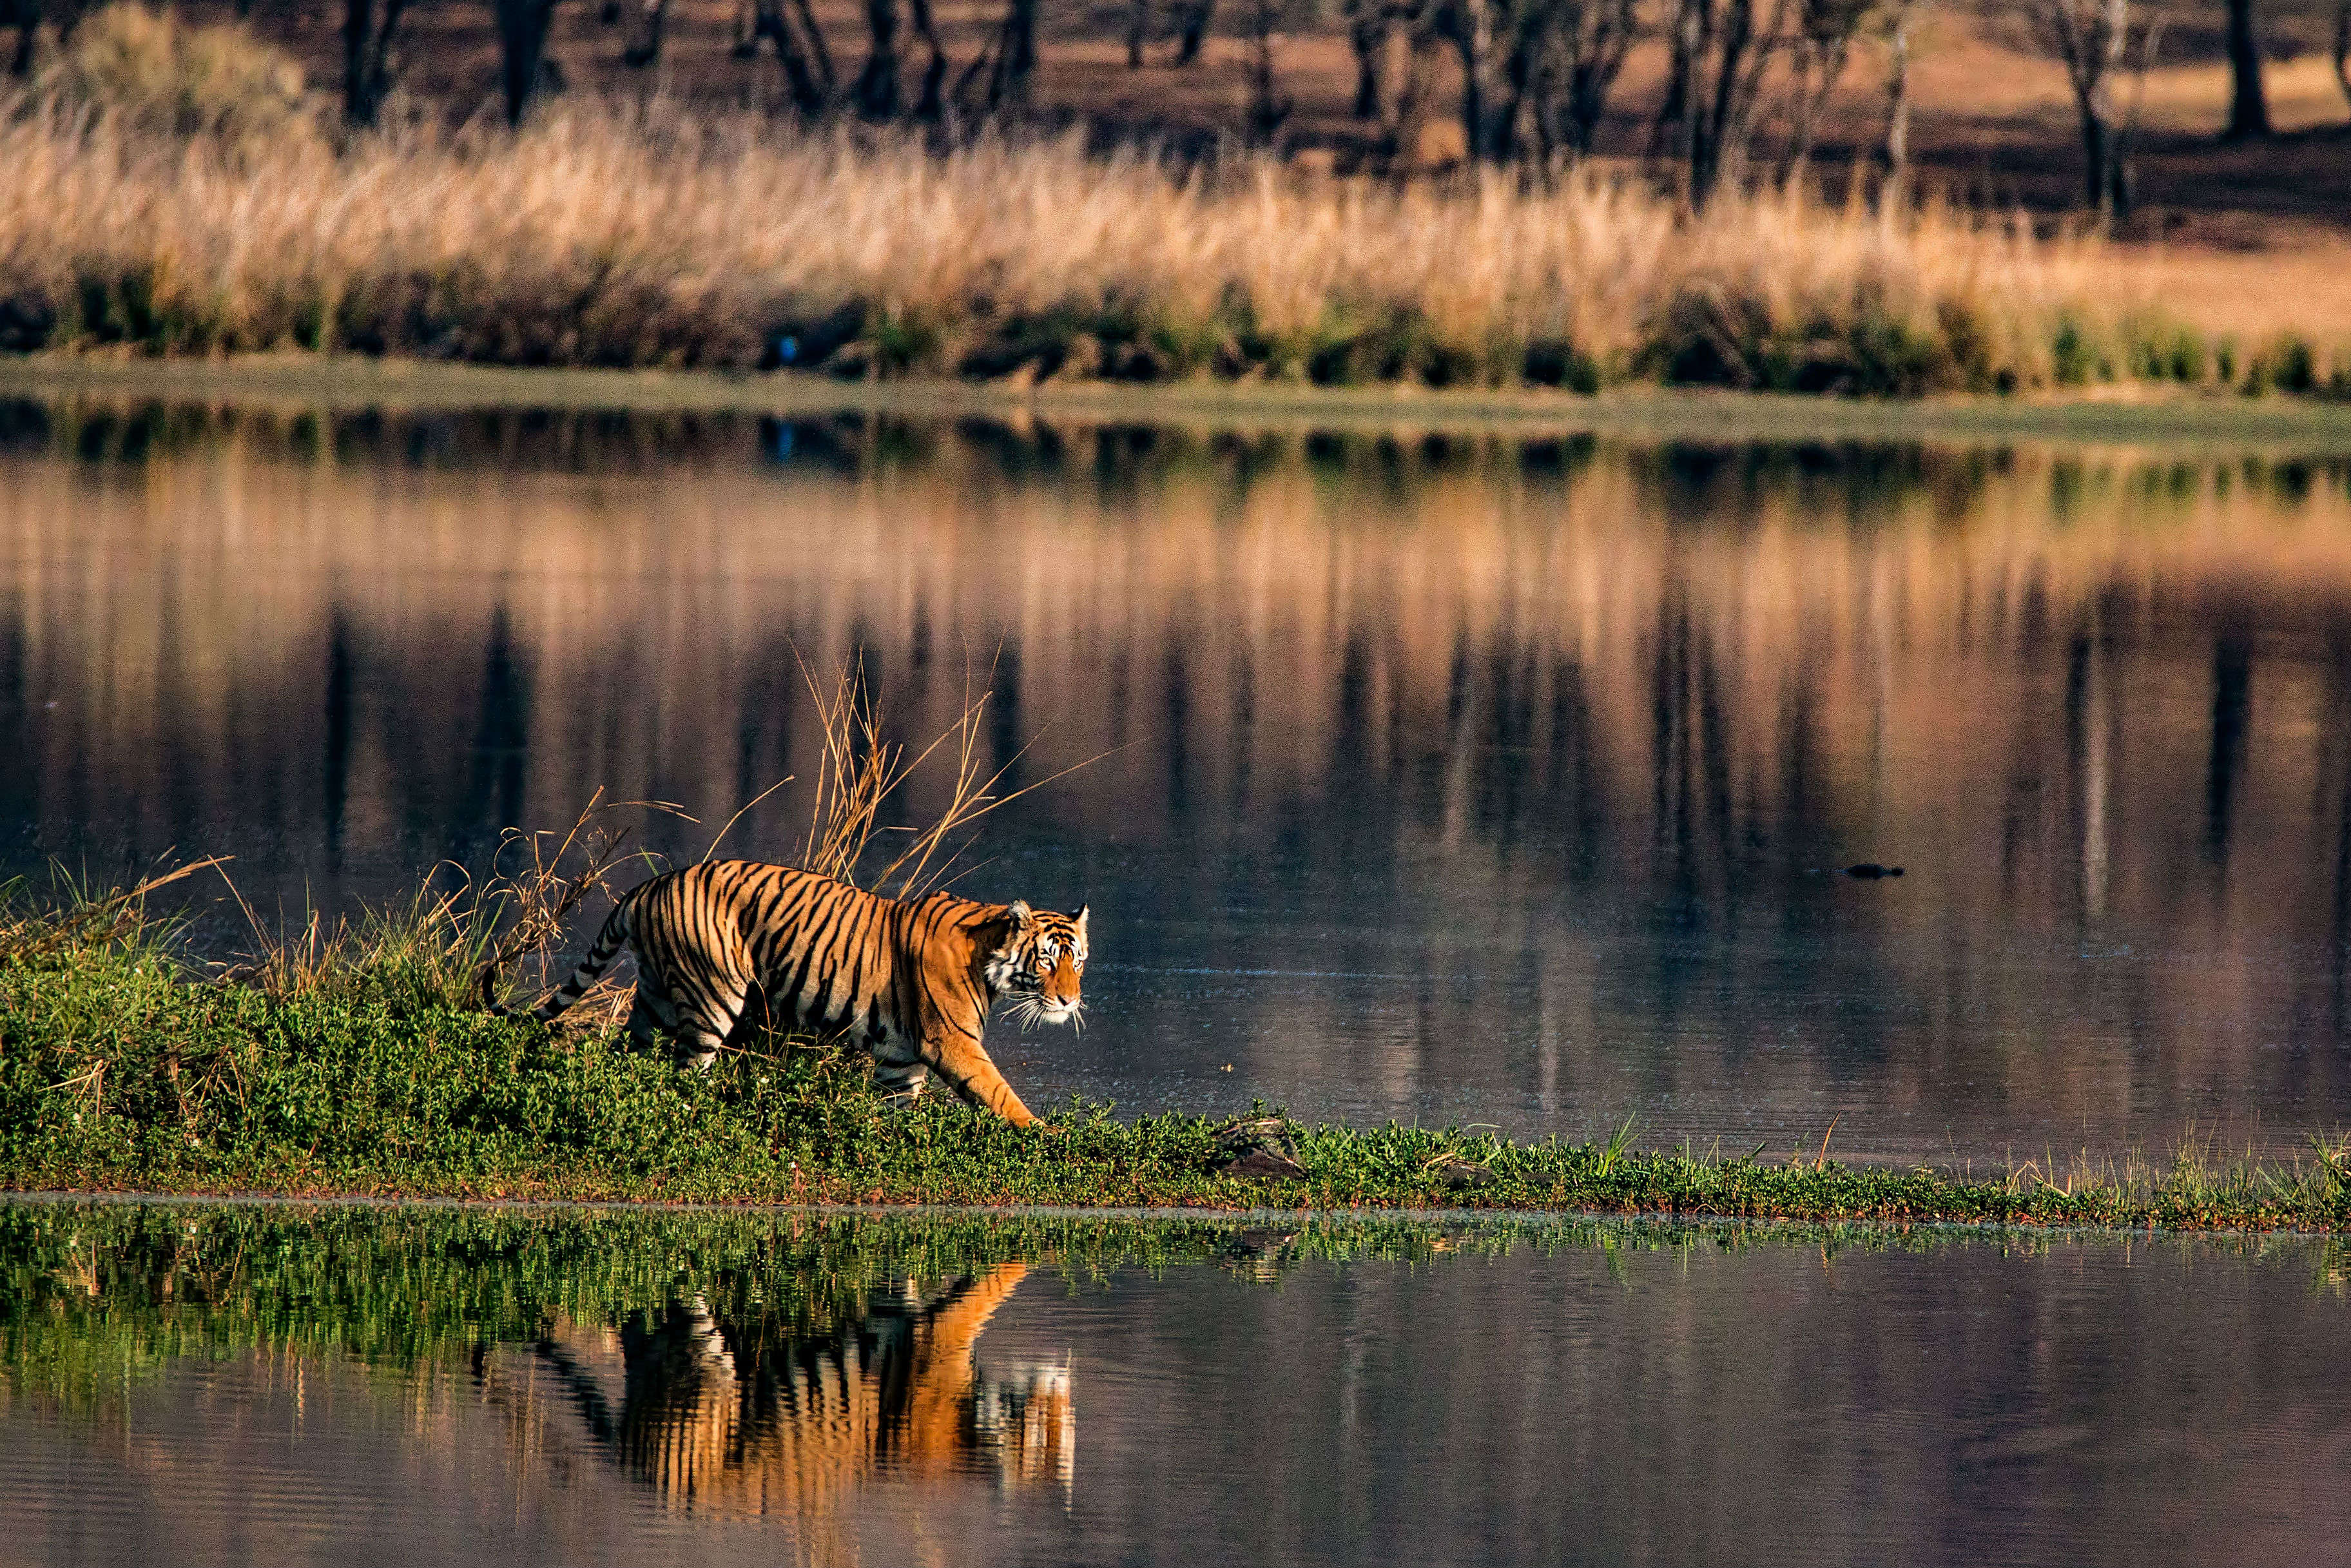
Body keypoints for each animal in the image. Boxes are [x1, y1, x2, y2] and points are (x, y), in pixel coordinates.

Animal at [510, 860, 1086, 1128]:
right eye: (1046, 961)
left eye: (1077, 961)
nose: (1070, 1001)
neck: (988, 955)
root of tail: (648, 886)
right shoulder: (953, 1042)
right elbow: (1000, 1095)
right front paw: (1045, 1134)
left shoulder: (901, 1061)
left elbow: (897, 1112)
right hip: (713, 994)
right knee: (687, 1071)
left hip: (654, 999)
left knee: (627, 1056)